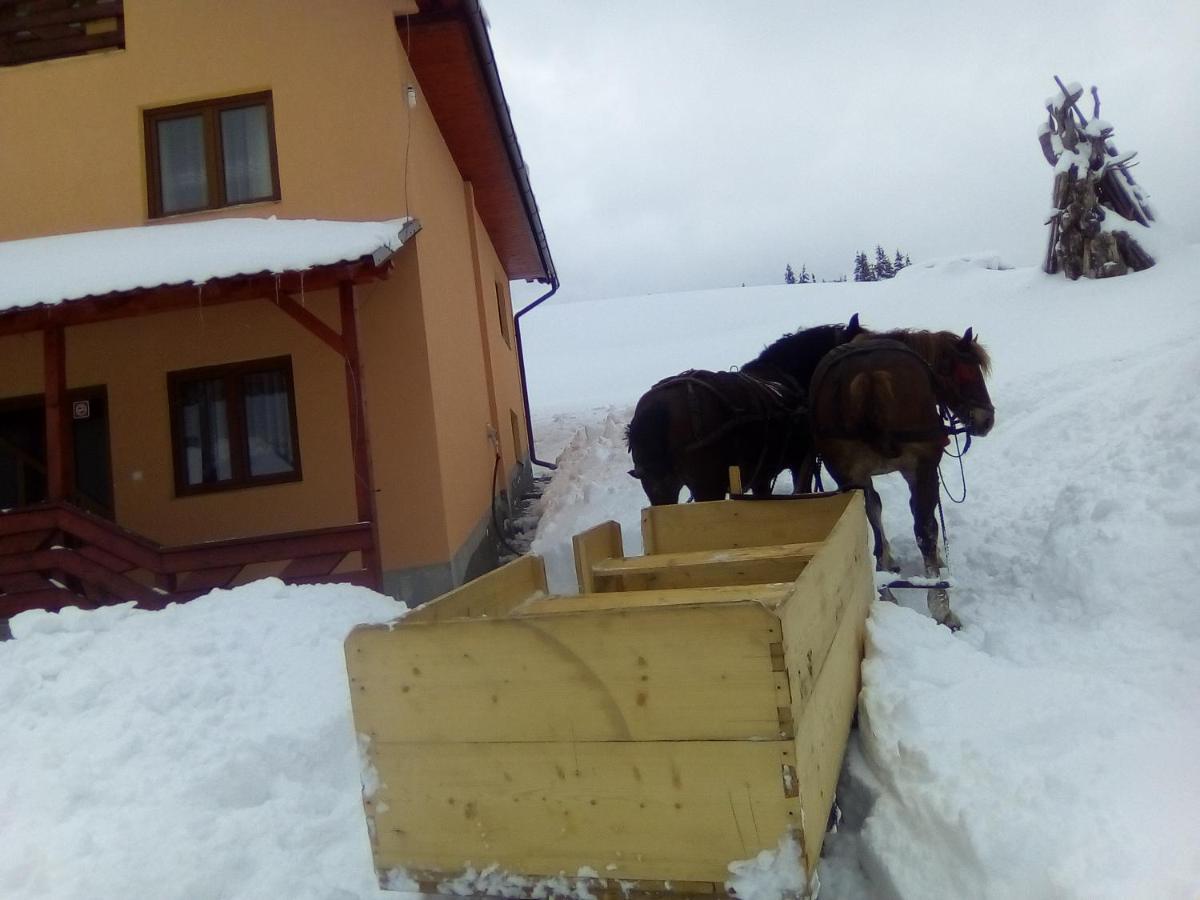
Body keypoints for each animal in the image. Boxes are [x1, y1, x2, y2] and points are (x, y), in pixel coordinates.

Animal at [628, 316, 864, 504]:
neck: (786, 378)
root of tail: (659, 406)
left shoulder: (762, 475)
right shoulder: (800, 464)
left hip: (660, 487)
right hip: (706, 486)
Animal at [811, 328, 998, 628]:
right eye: (967, 373)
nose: (987, 420)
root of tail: (870, 377)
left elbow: (875, 512)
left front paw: (887, 562)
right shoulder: (920, 470)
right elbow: (926, 522)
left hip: (849, 476)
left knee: (867, 525)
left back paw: (885, 590)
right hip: (922, 468)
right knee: (925, 529)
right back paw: (941, 605)